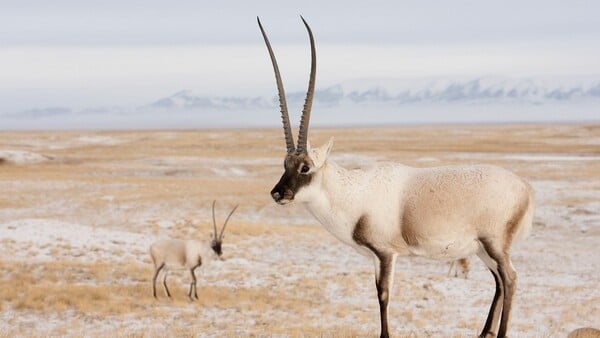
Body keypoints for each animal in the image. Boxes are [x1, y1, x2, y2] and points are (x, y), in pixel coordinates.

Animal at [258, 16, 536, 338]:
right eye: (285, 164)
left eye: (305, 167)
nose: (278, 193)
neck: (353, 192)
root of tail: (525, 188)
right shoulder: (375, 257)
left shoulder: (386, 253)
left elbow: (383, 294)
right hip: (482, 249)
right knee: (499, 282)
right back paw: (484, 333)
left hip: (494, 244)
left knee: (510, 279)